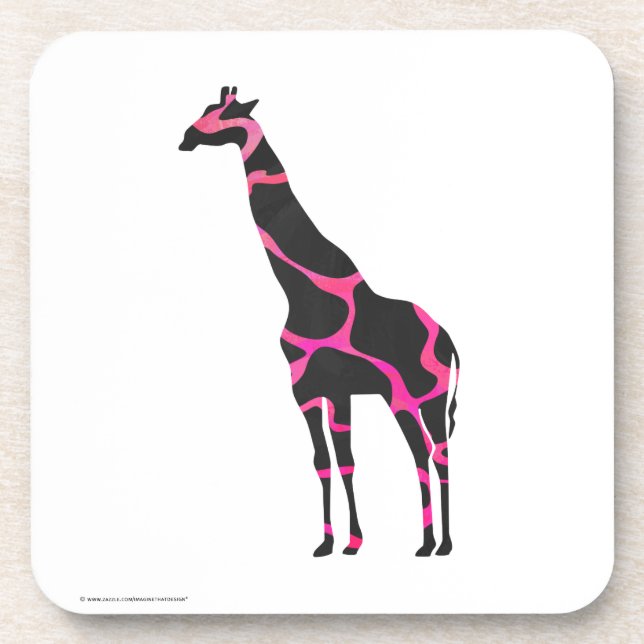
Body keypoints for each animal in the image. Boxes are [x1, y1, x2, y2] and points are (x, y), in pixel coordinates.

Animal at [179, 87, 460, 557]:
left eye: (224, 114)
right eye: (205, 109)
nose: (185, 138)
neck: (299, 292)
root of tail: (450, 342)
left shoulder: (336, 387)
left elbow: (345, 459)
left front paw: (352, 541)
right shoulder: (310, 391)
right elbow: (326, 462)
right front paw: (333, 542)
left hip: (421, 396)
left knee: (433, 453)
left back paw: (438, 545)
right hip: (409, 398)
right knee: (426, 453)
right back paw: (430, 542)